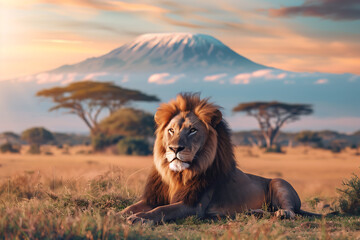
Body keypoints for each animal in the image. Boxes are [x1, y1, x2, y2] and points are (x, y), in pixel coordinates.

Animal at [121, 93, 318, 224]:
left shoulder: (193, 205)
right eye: (171, 130)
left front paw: (139, 219)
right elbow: (131, 208)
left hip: (279, 182)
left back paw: (281, 213)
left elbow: (162, 210)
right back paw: (253, 212)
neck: (177, 175)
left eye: (193, 130)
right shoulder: (152, 198)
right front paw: (118, 216)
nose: (175, 148)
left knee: (291, 211)